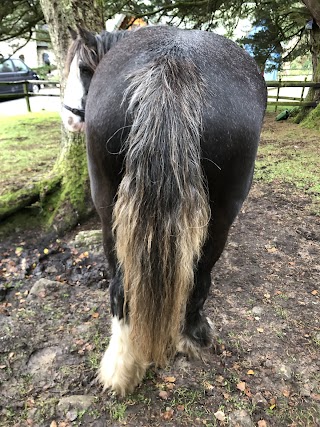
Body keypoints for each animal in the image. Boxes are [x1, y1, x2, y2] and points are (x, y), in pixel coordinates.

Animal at [61, 25, 266, 396]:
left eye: (83, 69)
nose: (69, 119)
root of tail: (173, 58)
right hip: (221, 214)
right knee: (196, 278)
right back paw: (186, 338)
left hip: (109, 207)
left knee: (123, 288)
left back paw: (123, 366)